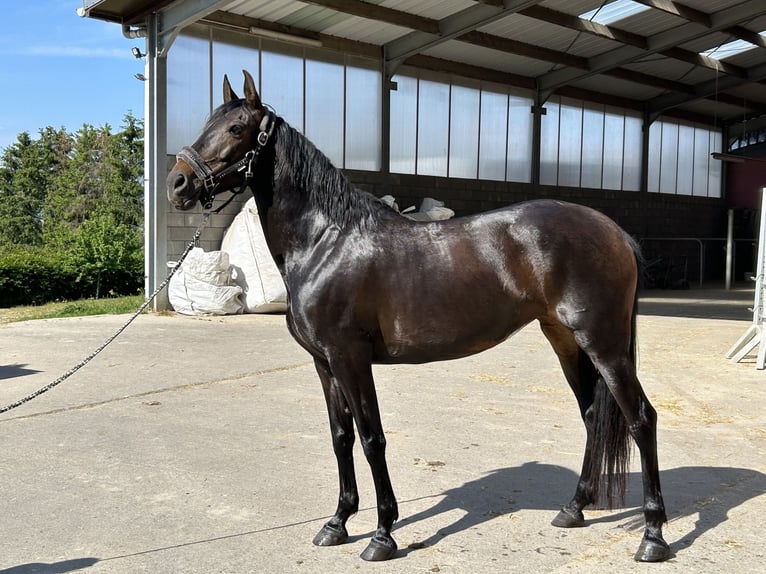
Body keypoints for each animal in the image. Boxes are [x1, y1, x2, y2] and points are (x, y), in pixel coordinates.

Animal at [168, 70, 672, 564]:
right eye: (208, 122)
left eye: (237, 128)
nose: (178, 183)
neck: (326, 240)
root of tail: (614, 231)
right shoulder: (324, 363)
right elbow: (340, 437)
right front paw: (337, 524)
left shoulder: (350, 358)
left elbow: (372, 438)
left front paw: (382, 535)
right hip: (565, 339)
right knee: (591, 414)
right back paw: (574, 508)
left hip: (603, 344)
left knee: (641, 419)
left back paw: (653, 536)